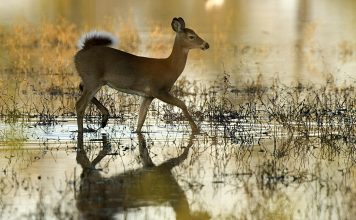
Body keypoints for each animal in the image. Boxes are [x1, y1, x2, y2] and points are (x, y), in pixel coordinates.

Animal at [74, 17, 209, 141]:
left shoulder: (148, 96)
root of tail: (80, 53)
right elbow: (182, 104)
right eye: (191, 36)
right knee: (79, 105)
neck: (169, 67)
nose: (206, 44)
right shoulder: (158, 90)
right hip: (93, 79)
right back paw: (83, 130)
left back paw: (104, 118)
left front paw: (135, 132)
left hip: (93, 80)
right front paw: (196, 130)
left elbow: (141, 120)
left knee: (81, 87)